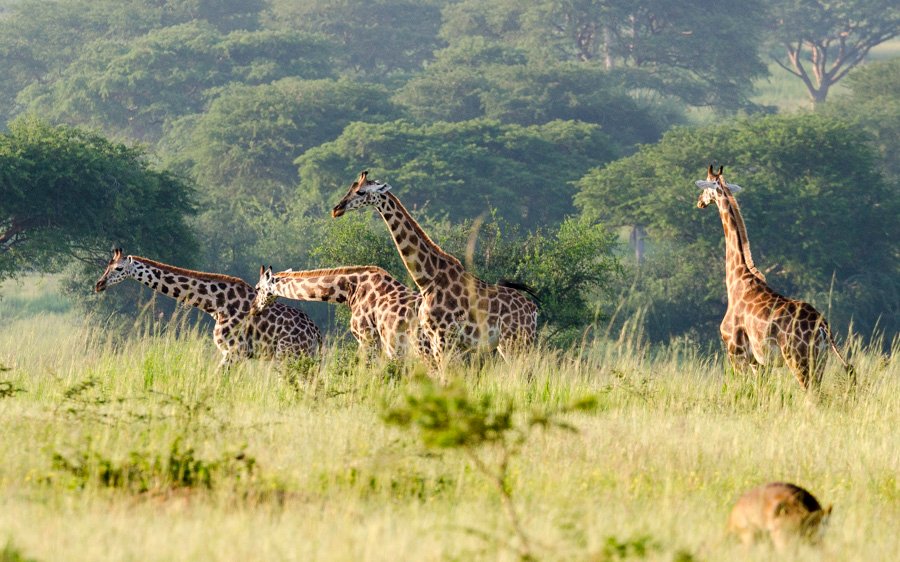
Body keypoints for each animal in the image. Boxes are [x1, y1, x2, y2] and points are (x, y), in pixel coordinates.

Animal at [94, 249, 320, 368]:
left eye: (119, 268)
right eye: (106, 267)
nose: (99, 284)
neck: (215, 304)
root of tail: (316, 333)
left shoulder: (235, 351)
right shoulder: (234, 354)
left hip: (289, 355)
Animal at [334, 168, 536, 358]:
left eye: (360, 192)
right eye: (350, 188)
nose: (336, 209)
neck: (428, 279)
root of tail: (533, 310)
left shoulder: (443, 337)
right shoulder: (436, 338)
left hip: (515, 341)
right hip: (509, 343)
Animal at [692, 164, 856, 388]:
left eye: (706, 185)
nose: (699, 202)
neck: (736, 279)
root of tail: (824, 328)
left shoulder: (737, 353)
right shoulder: (760, 363)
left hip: (798, 360)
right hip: (819, 361)